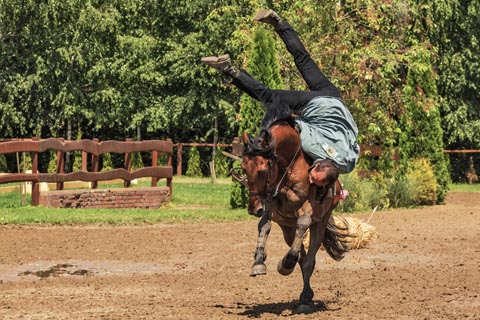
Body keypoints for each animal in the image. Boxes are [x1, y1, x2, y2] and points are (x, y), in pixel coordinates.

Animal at [238, 119, 350, 314]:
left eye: (262, 170)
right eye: (244, 168)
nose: (253, 208)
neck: (290, 165)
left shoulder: (307, 208)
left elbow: (303, 222)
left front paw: (285, 263)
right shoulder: (271, 202)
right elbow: (264, 225)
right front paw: (259, 261)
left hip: (319, 225)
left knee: (309, 260)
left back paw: (304, 297)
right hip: (287, 229)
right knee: (301, 255)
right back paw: (306, 291)